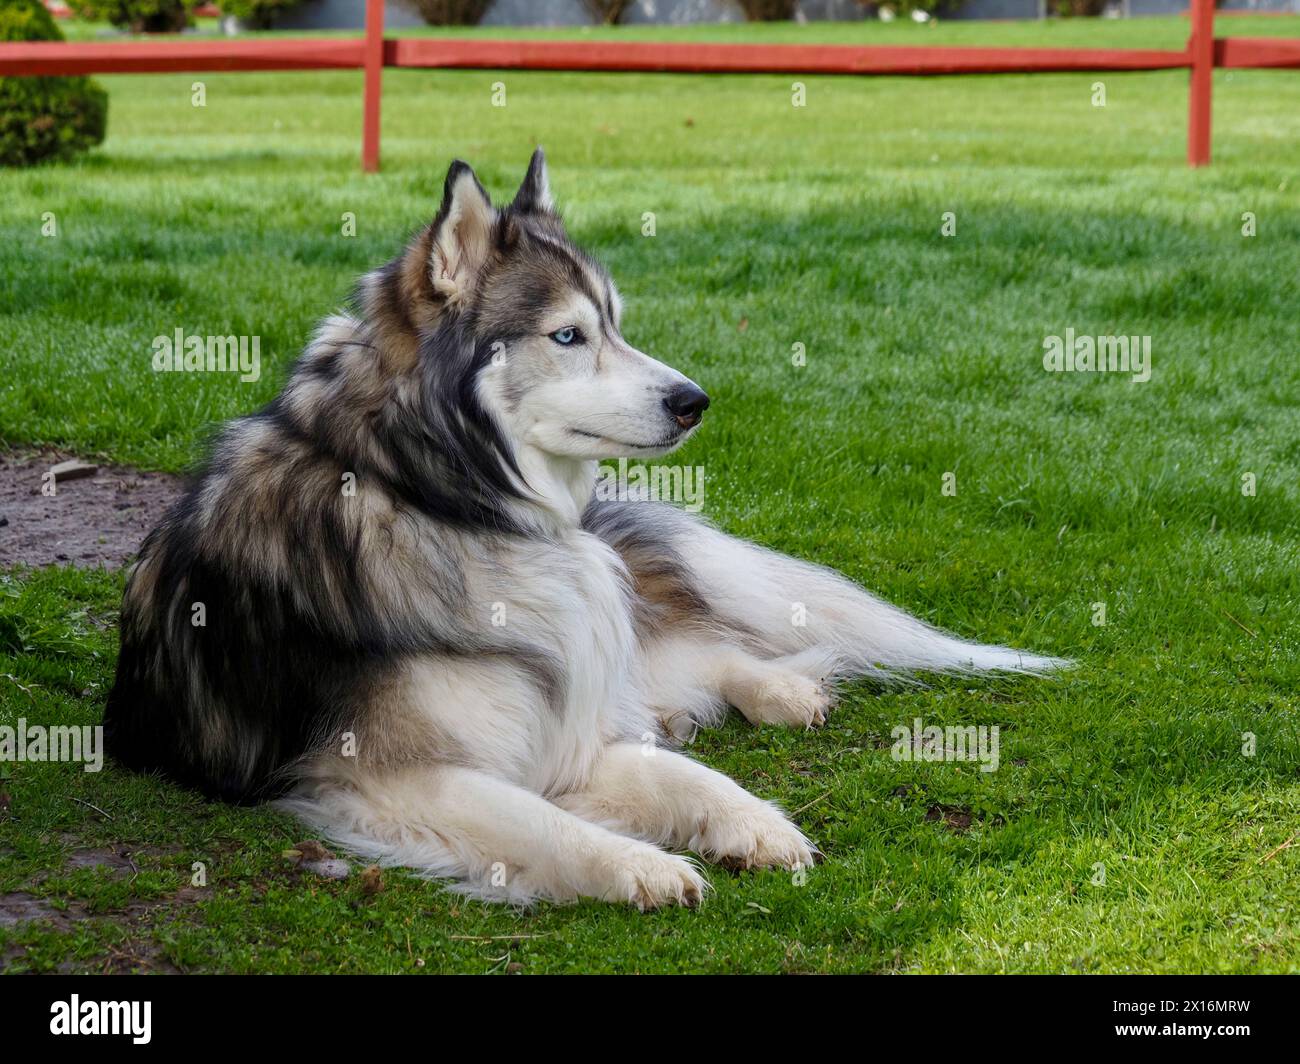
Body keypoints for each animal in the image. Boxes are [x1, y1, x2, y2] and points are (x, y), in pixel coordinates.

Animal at [98, 153, 1055, 910]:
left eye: (618, 325)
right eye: (568, 335)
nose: (694, 401)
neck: (430, 493)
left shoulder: (567, 710)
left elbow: (687, 773)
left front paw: (754, 821)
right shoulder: (383, 776)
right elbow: (541, 819)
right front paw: (639, 866)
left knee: (692, 653)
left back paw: (780, 689)